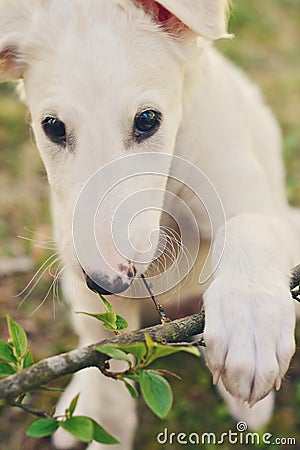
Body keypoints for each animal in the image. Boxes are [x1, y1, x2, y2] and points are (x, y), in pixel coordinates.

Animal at [0, 0, 300, 450]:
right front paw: (105, 426)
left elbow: (249, 228)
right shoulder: (81, 269)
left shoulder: (257, 202)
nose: (107, 282)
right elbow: (108, 355)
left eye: (147, 120)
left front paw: (250, 332)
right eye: (52, 126)